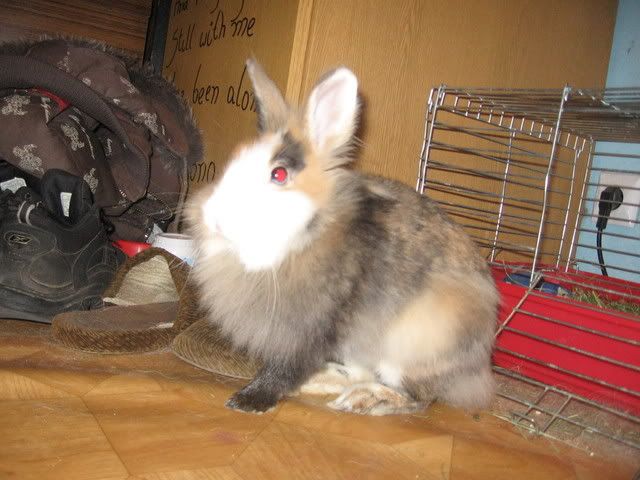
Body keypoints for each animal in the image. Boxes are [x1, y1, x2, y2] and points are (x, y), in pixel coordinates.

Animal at [187, 59, 499, 415]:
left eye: (278, 174)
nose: (214, 220)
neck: (309, 232)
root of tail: (476, 371)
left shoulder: (311, 328)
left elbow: (283, 369)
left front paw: (247, 401)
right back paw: (328, 385)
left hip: (413, 344)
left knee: (416, 398)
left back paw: (366, 400)